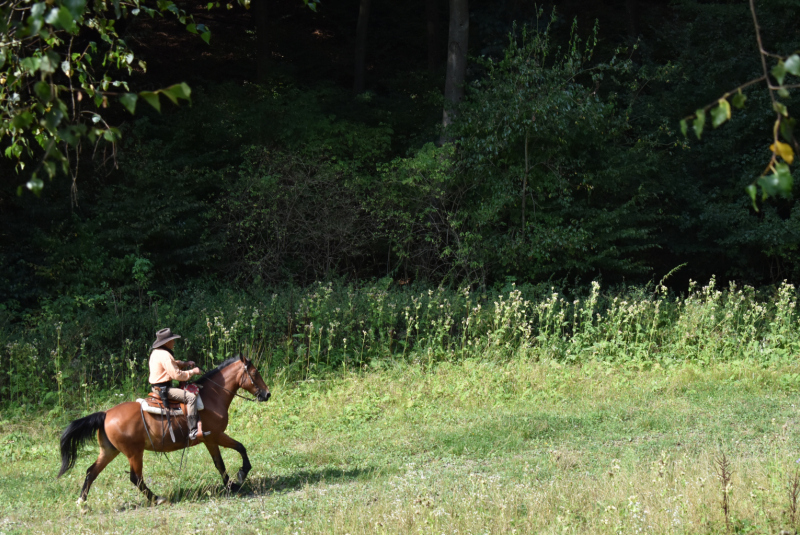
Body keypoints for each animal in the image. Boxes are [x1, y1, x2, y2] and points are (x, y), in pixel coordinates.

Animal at [56, 354, 270, 504]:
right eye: (255, 373)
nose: (267, 394)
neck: (211, 396)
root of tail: (106, 414)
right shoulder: (215, 436)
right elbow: (238, 449)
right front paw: (240, 476)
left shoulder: (209, 439)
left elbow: (220, 463)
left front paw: (230, 485)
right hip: (134, 453)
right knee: (136, 478)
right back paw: (157, 498)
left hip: (110, 450)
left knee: (91, 471)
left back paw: (82, 503)